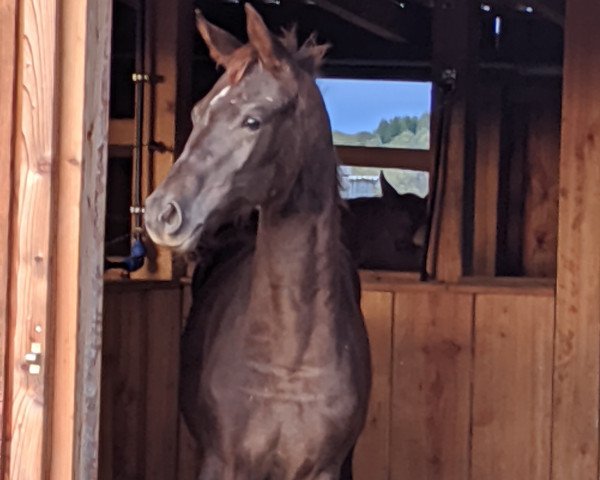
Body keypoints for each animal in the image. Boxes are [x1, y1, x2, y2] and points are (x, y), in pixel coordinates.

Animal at [144, 4, 370, 480]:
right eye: (196, 114)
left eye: (253, 120)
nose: (162, 212)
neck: (288, 362)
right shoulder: (223, 463)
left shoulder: (324, 469)